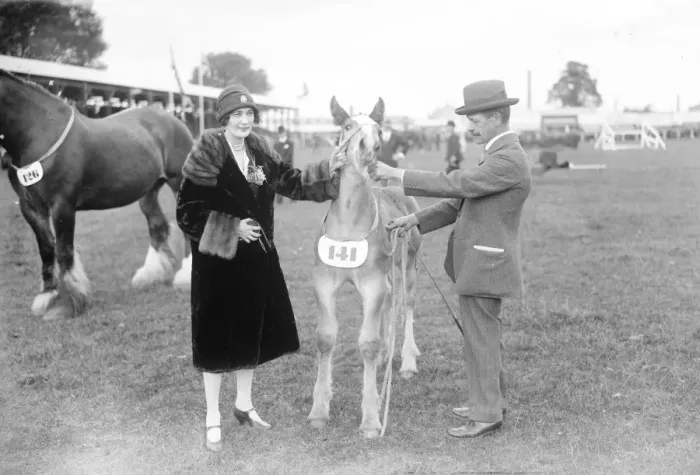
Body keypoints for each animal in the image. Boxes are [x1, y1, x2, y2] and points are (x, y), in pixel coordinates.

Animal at [0, 70, 193, 321]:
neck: (40, 132)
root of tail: (174, 120)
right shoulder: (30, 207)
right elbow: (46, 250)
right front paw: (47, 295)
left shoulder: (63, 205)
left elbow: (63, 250)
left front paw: (67, 303)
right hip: (149, 190)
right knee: (157, 225)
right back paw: (151, 274)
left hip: (178, 181)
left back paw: (185, 276)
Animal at [307, 96, 422, 438]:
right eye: (347, 126)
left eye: (379, 129)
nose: (369, 149)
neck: (349, 224)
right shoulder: (324, 282)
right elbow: (325, 338)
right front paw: (318, 411)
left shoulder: (371, 283)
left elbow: (368, 343)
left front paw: (371, 420)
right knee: (389, 303)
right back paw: (387, 355)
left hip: (408, 264)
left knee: (406, 303)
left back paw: (407, 361)